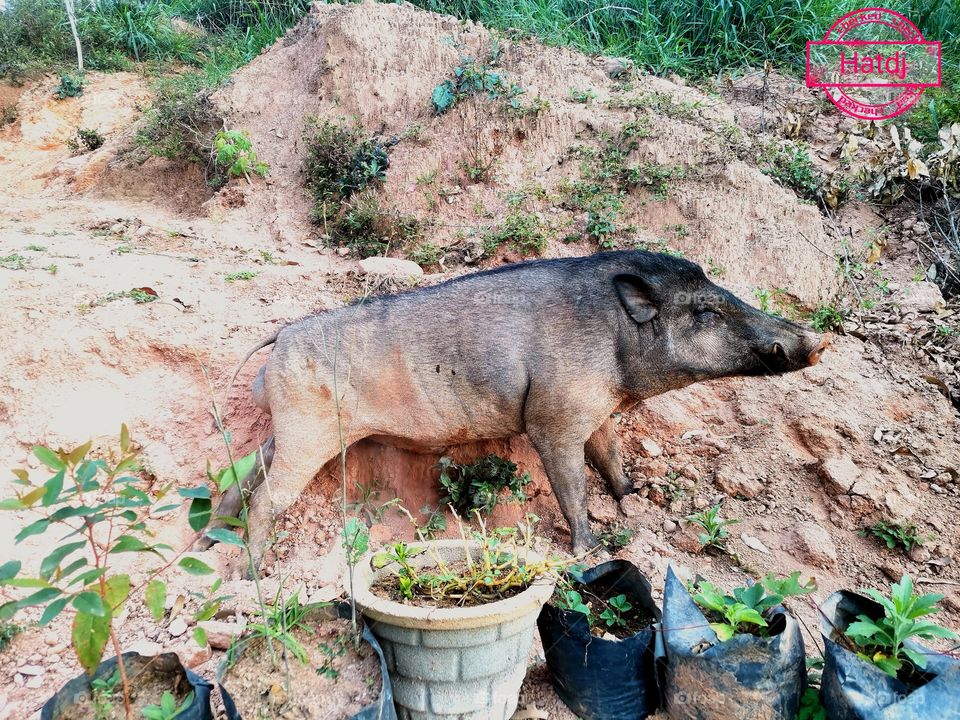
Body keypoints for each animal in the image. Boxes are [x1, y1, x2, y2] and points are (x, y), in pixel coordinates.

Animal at [205, 250, 829, 564]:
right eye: (705, 312)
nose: (817, 340)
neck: (614, 343)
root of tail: (280, 338)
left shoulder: (594, 414)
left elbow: (610, 456)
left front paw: (635, 496)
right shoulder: (552, 421)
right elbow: (572, 486)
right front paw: (587, 551)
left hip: (283, 432)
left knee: (240, 480)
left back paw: (213, 540)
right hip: (309, 432)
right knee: (266, 499)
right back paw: (254, 571)